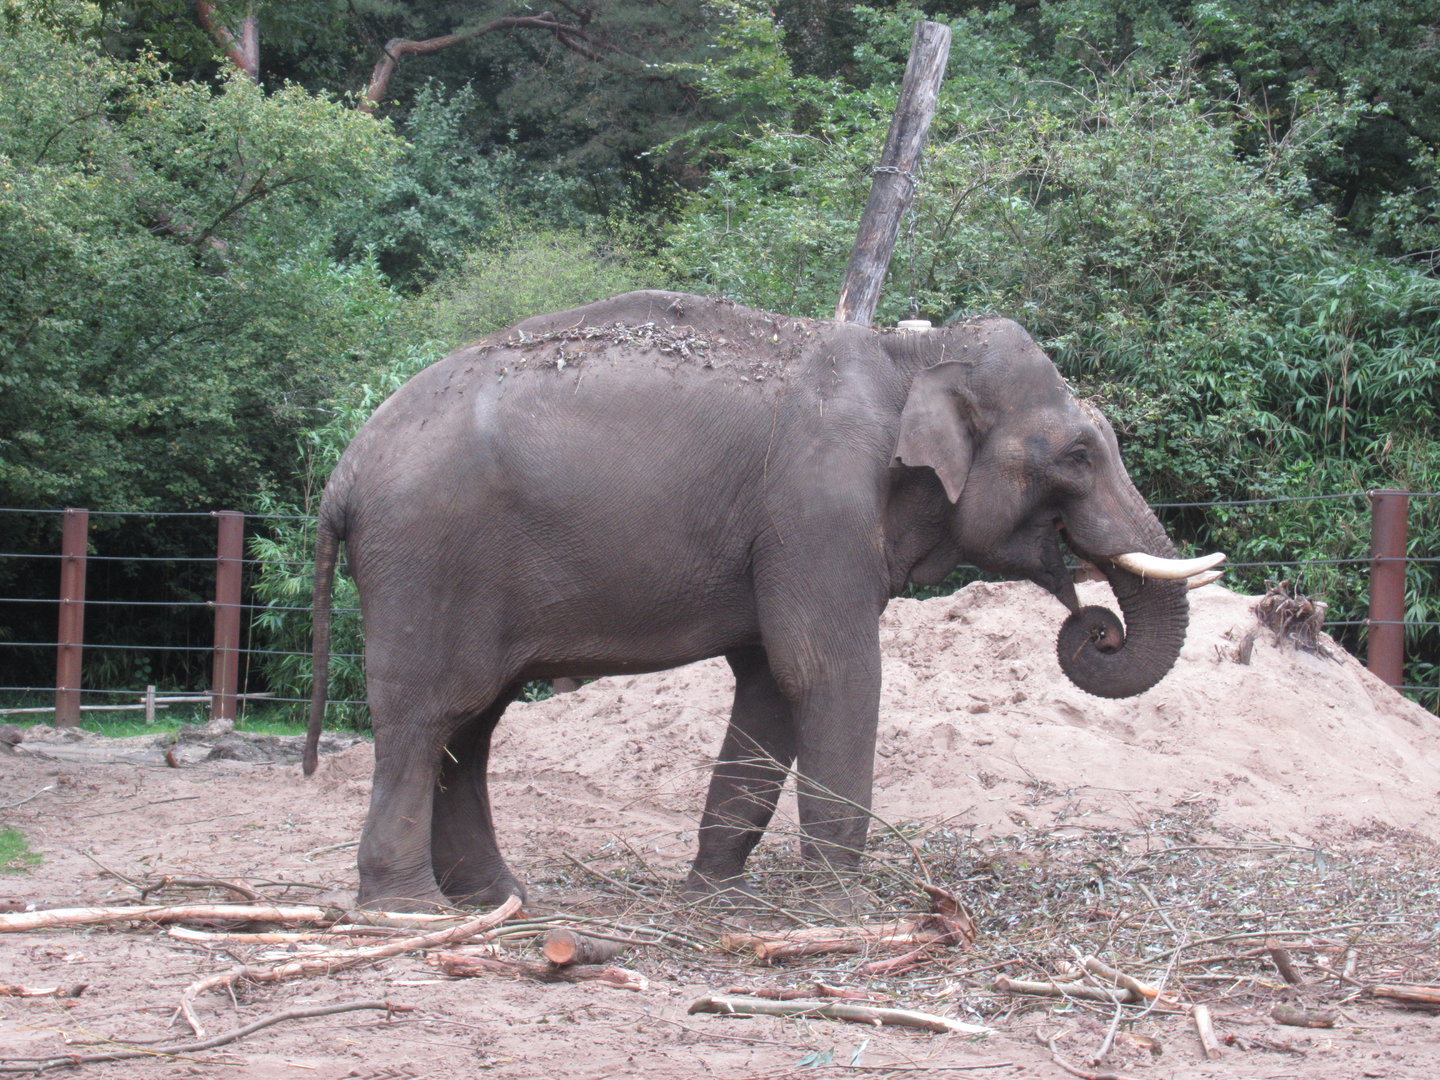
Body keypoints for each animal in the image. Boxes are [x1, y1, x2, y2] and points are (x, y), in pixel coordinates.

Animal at [303, 290, 1223, 911]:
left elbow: (773, 686)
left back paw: (499, 900)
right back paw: (408, 910)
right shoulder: (816, 507)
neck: (910, 356)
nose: (1095, 630)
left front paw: (714, 894)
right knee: (427, 712)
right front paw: (842, 906)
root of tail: (344, 472)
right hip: (426, 557)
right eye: (1077, 455)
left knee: (472, 724)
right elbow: (826, 669)